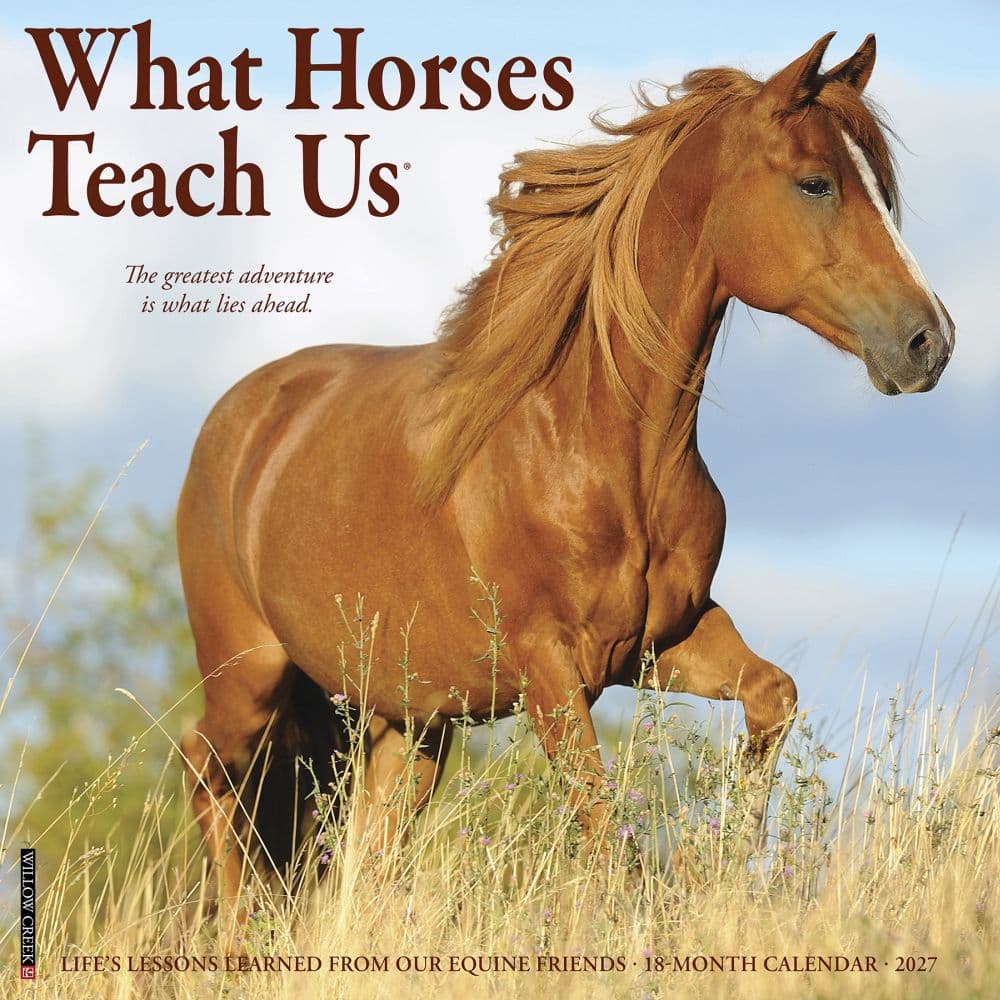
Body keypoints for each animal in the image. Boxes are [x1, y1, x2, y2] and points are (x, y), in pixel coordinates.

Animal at [178, 33, 954, 903]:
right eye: (816, 182)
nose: (930, 342)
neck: (601, 446)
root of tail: (241, 417)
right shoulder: (550, 672)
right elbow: (605, 836)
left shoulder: (664, 641)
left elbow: (772, 697)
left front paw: (714, 860)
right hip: (247, 673)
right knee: (210, 771)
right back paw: (238, 922)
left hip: (411, 723)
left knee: (364, 851)